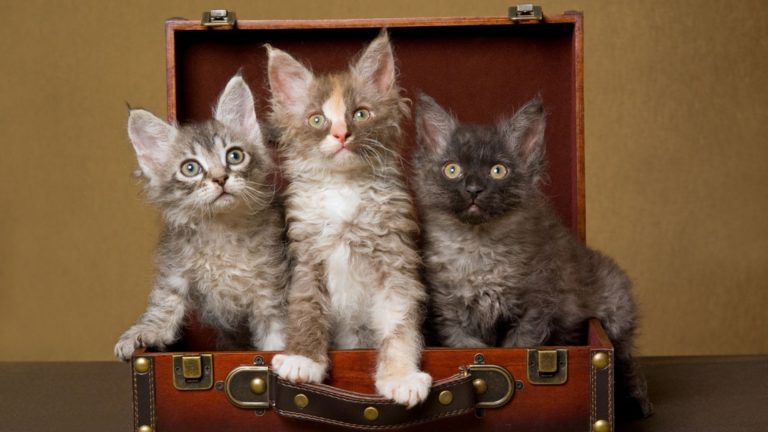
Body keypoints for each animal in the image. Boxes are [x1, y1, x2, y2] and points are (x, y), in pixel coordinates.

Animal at [115, 75, 290, 362]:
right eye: (190, 168)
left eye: (234, 155)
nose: (220, 178)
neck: (222, 230)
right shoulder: (175, 265)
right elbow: (164, 302)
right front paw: (141, 332)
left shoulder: (272, 288)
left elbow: (277, 336)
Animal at [266, 31, 432, 408]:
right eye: (317, 120)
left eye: (361, 114)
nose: (341, 134)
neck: (344, 189)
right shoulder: (306, 257)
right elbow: (306, 309)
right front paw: (303, 360)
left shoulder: (395, 258)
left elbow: (399, 323)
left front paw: (401, 377)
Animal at [412, 94, 652, 418]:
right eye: (452, 170)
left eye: (498, 170)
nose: (474, 189)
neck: (480, 250)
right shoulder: (450, 317)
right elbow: (465, 345)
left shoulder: (534, 309)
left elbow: (519, 344)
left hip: (616, 314)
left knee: (628, 363)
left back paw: (639, 403)